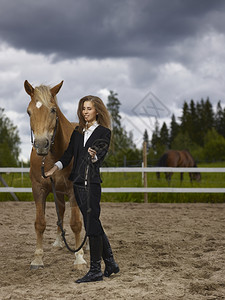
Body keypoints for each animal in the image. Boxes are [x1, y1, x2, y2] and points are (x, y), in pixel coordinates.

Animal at [24, 79, 86, 270]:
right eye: (28, 111)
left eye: (53, 110)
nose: (41, 144)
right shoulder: (38, 189)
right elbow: (40, 223)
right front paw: (37, 258)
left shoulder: (74, 189)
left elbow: (76, 223)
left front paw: (79, 258)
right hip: (58, 192)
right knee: (61, 211)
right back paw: (59, 242)